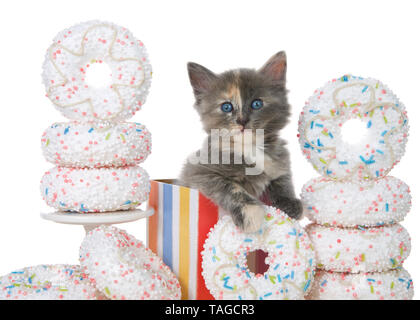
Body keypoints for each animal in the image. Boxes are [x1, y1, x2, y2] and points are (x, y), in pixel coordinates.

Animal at [180, 52, 302, 232]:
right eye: (226, 107)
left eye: (256, 103)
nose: (242, 120)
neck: (250, 147)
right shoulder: (198, 172)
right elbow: (231, 188)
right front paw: (250, 213)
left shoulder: (280, 159)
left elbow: (282, 179)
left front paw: (290, 203)